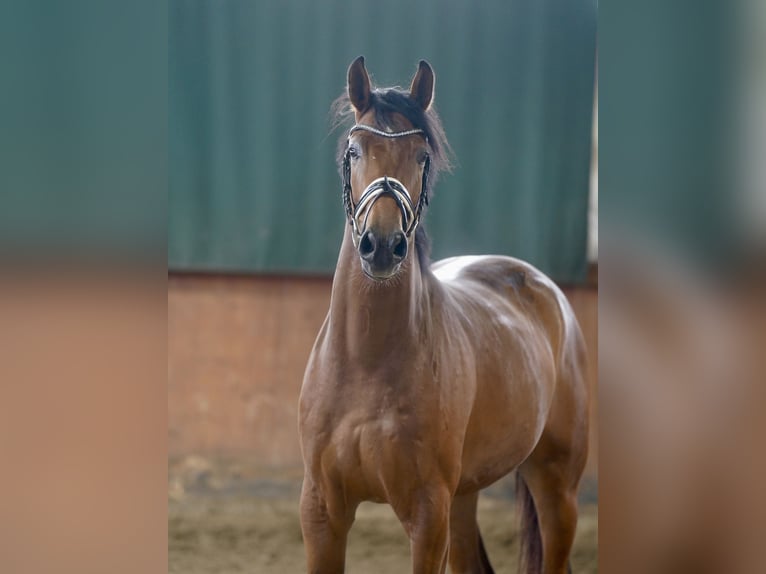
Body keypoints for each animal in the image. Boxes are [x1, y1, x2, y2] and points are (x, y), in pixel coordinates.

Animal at [298, 56, 589, 574]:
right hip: (464, 496)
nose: (382, 246)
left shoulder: (427, 515)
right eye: (354, 150)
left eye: (421, 155)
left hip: (557, 489)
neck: (366, 363)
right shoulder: (321, 513)